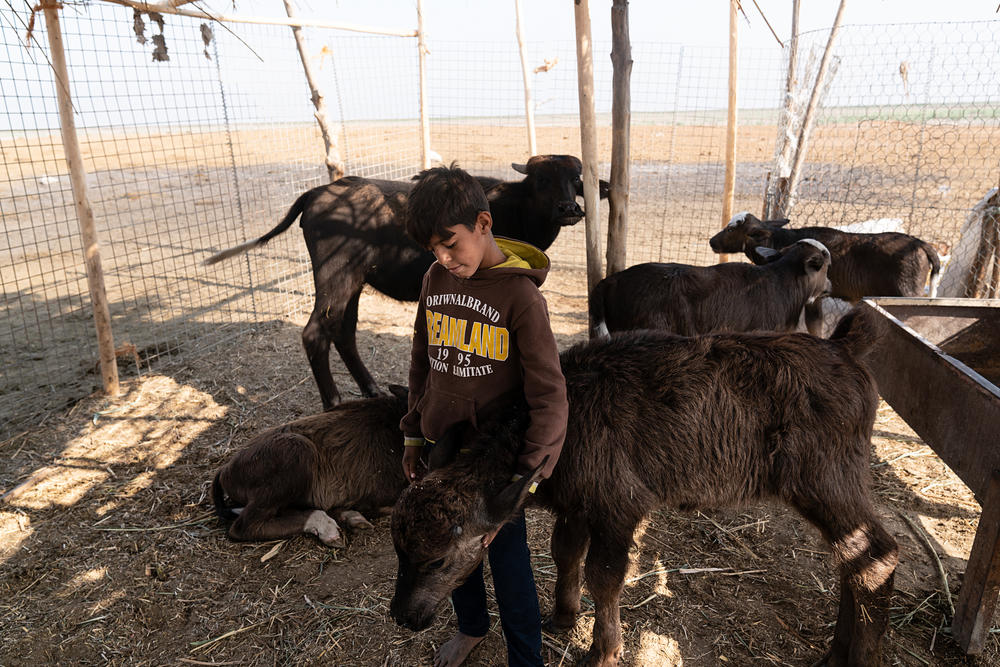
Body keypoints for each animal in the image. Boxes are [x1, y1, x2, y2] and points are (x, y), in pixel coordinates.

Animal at [203, 155, 608, 412]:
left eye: (576, 181)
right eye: (541, 181)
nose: (568, 209)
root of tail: (317, 192)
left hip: (355, 281)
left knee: (343, 331)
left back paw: (371, 388)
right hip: (336, 277)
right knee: (316, 332)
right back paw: (333, 402)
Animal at [390, 310, 900, 667]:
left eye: (438, 560)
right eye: (400, 552)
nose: (402, 614)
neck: (562, 428)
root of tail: (845, 347)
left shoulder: (621, 505)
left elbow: (604, 575)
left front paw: (603, 651)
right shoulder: (578, 503)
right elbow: (565, 552)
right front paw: (562, 616)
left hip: (826, 479)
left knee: (878, 555)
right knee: (853, 561)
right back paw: (836, 652)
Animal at [712, 213, 936, 334]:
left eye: (731, 229)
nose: (711, 241)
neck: (780, 242)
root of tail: (921, 244)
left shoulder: (812, 298)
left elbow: (814, 327)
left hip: (908, 294)